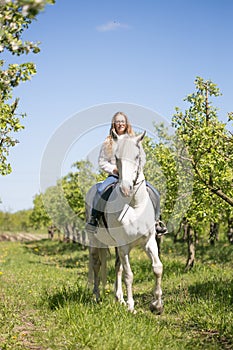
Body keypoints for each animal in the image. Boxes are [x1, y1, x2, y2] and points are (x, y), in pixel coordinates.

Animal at [85, 131, 164, 314]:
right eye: (116, 157)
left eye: (137, 156)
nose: (126, 189)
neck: (134, 205)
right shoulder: (124, 246)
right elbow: (129, 275)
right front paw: (131, 306)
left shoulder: (149, 242)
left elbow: (157, 268)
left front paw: (156, 304)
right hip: (95, 241)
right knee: (97, 264)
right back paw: (97, 296)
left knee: (117, 266)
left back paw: (118, 298)